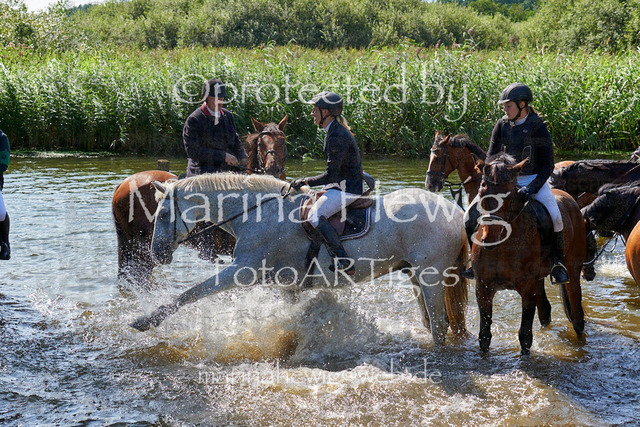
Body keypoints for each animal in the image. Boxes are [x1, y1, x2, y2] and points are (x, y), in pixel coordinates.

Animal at [129, 173, 470, 346]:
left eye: (163, 213)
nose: (157, 254)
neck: (259, 213)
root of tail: (456, 212)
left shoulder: (242, 272)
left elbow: (191, 293)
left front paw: (146, 321)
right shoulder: (286, 286)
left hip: (431, 277)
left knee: (439, 324)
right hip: (415, 276)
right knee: (432, 321)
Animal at [470, 154, 586, 355]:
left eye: (509, 195)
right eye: (482, 191)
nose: (489, 238)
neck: (502, 246)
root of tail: (570, 200)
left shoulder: (527, 289)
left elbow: (525, 336)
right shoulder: (483, 288)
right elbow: (484, 336)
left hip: (572, 270)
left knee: (577, 316)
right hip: (538, 278)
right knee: (546, 311)